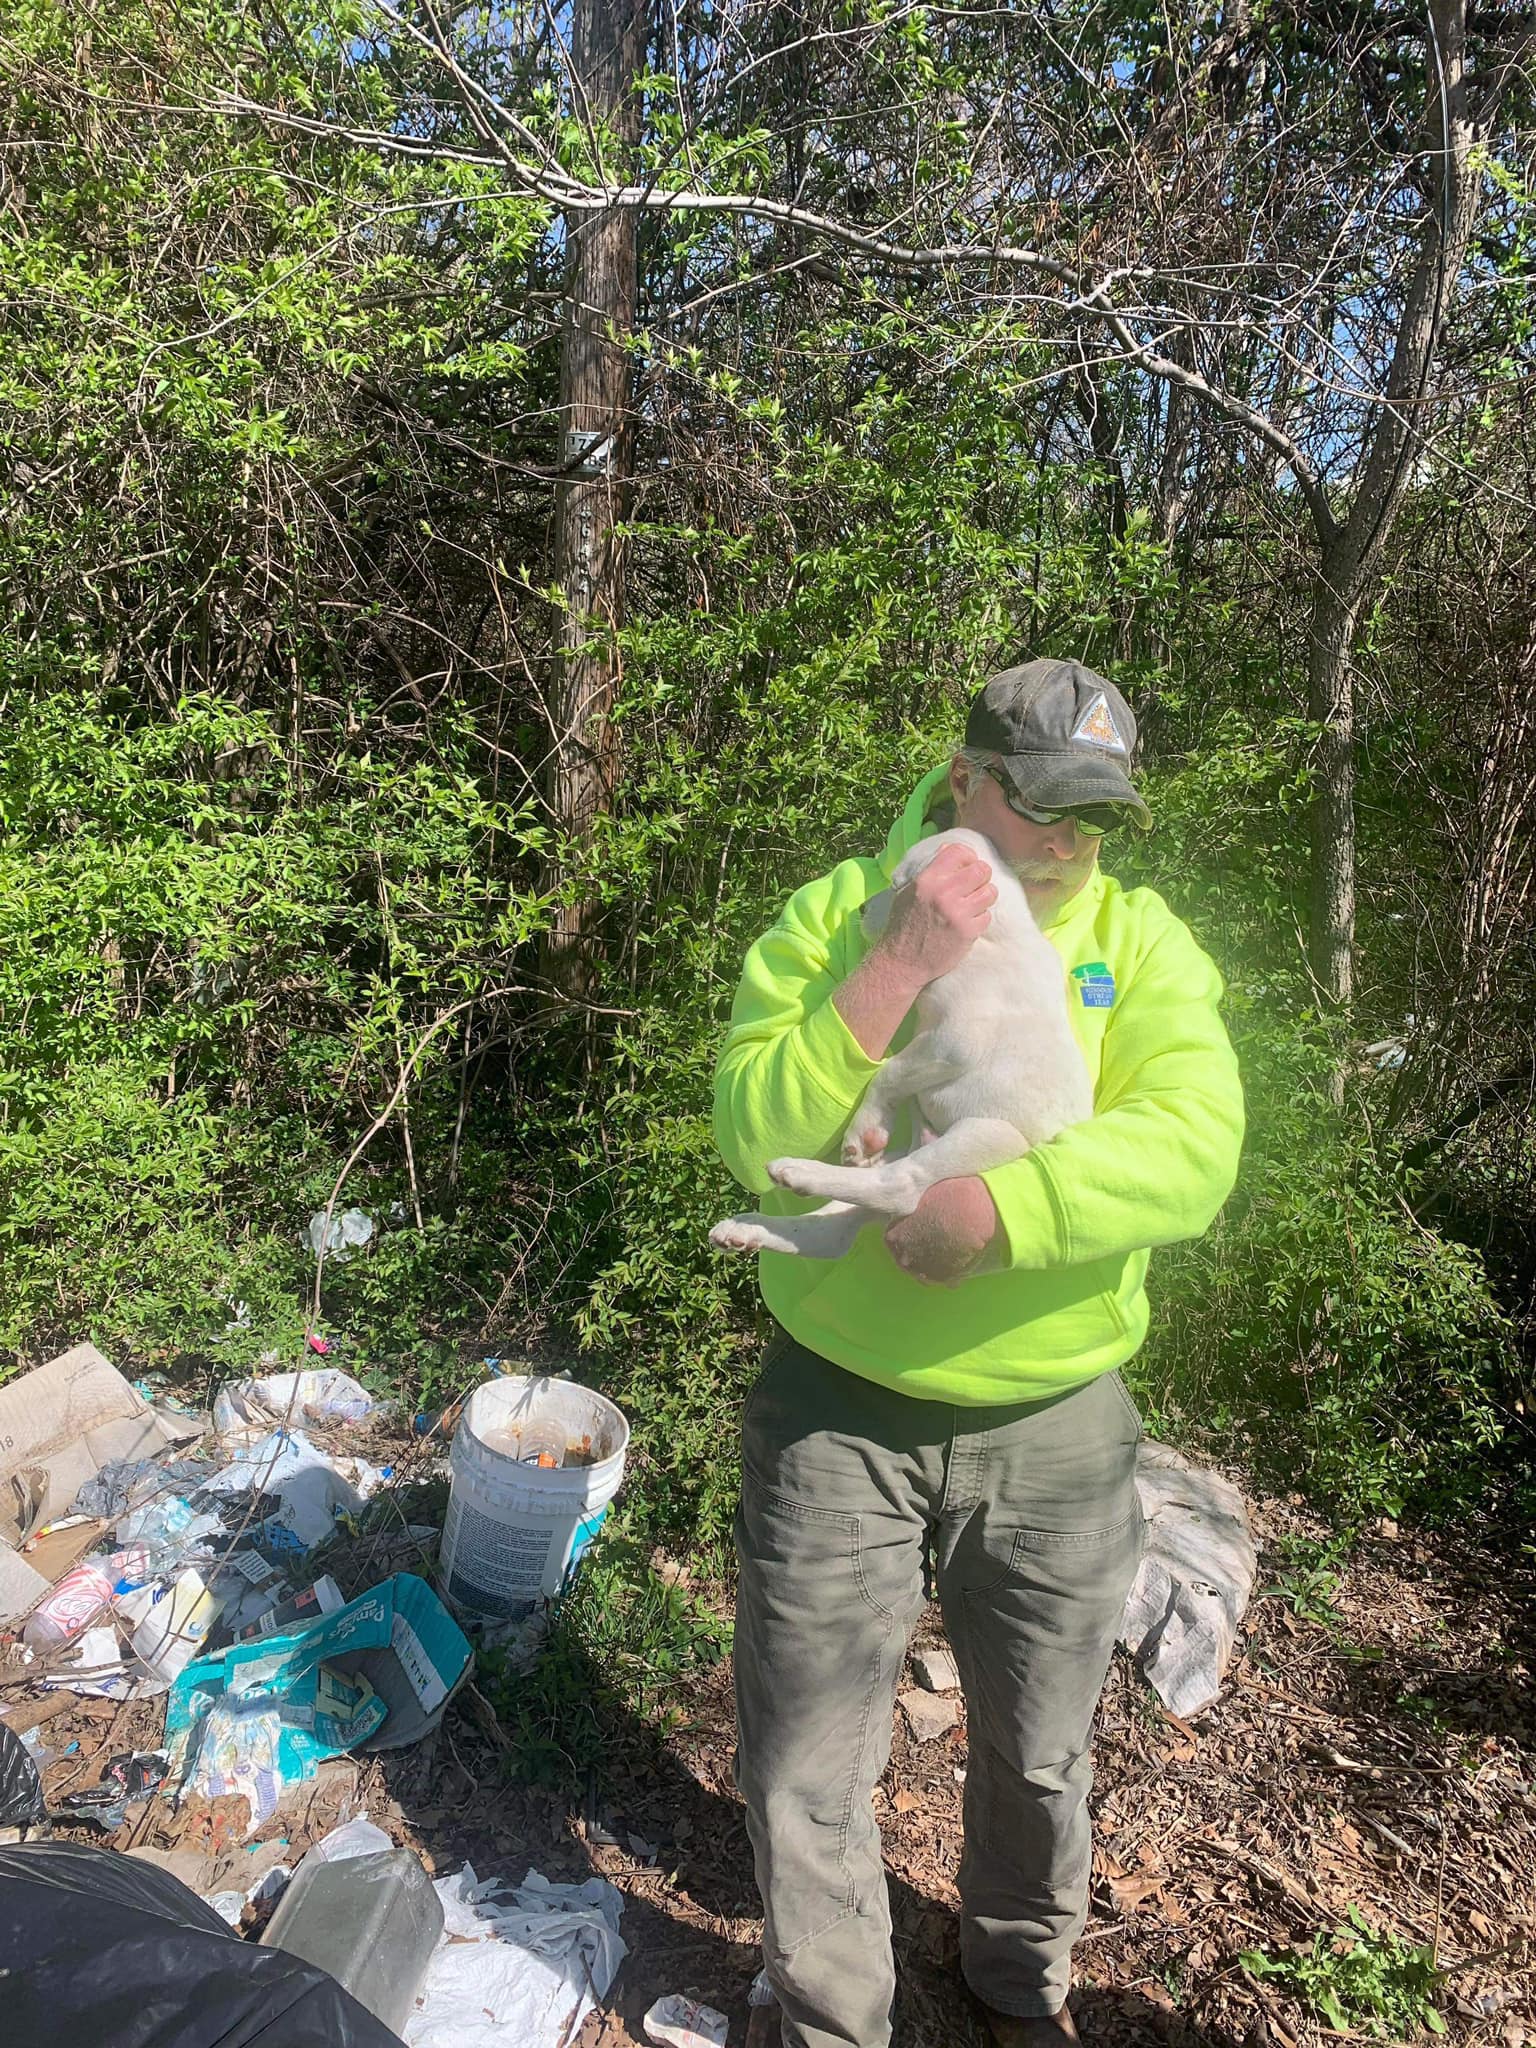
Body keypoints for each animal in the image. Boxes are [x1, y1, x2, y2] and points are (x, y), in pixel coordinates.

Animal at [712, 823, 1097, 1253]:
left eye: (899, 886)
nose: (861, 910)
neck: (996, 935)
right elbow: (895, 1070)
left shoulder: (955, 1040)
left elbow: (889, 1071)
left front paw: (865, 1127)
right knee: (826, 1234)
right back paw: (746, 1227)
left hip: (990, 1137)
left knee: (899, 1185)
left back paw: (799, 1171)